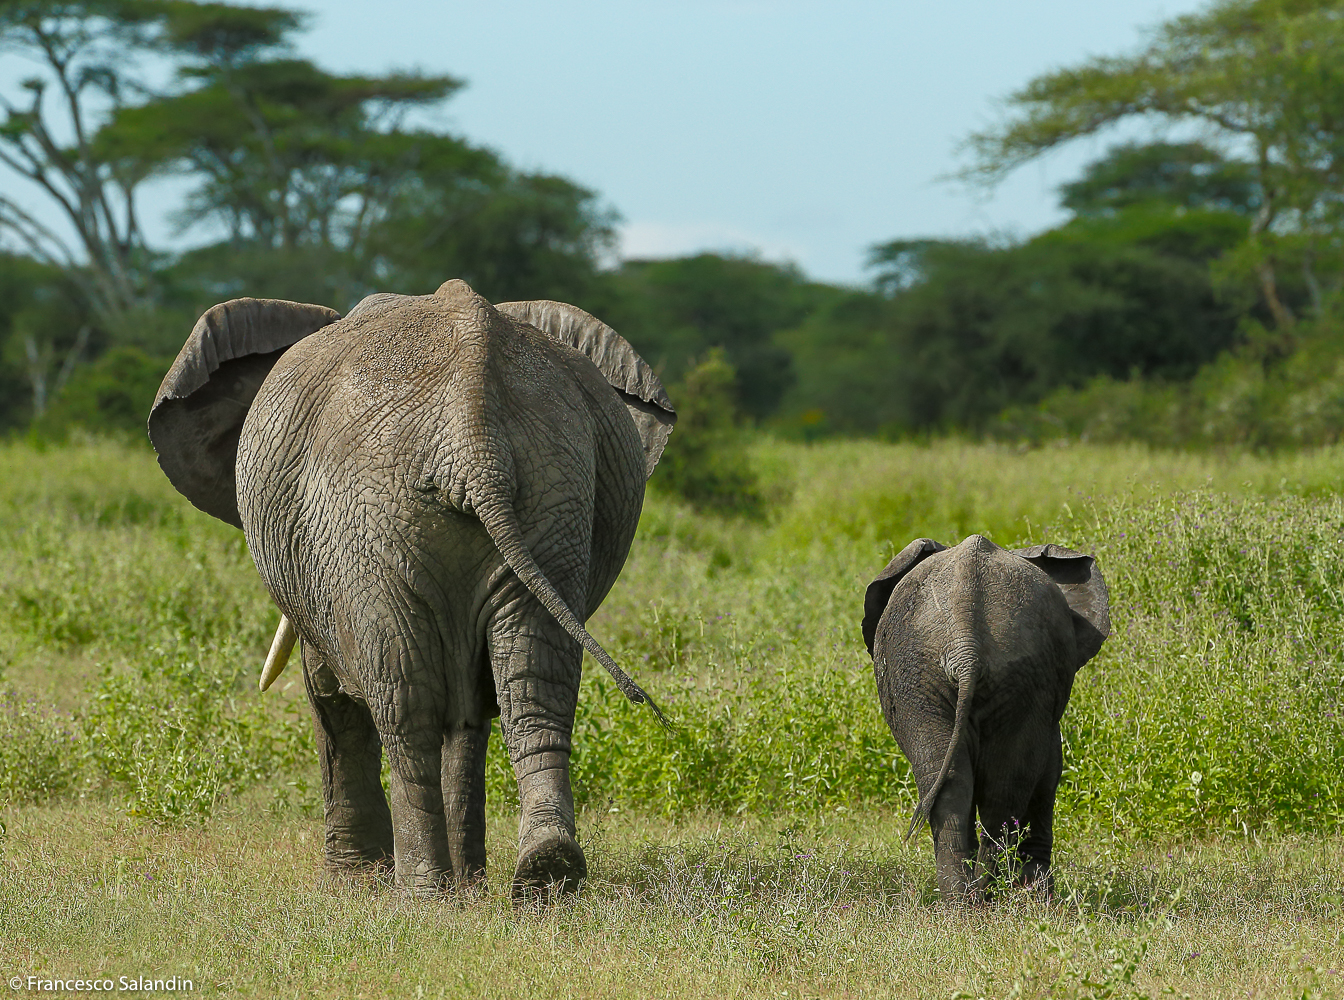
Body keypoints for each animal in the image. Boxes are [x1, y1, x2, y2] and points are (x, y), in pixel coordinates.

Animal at [148, 279, 675, 899]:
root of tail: (474, 429)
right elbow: (472, 711)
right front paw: (471, 885)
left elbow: (330, 692)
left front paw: (354, 882)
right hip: (554, 494)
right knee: (533, 683)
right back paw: (544, 873)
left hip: (367, 522)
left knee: (404, 702)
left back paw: (421, 894)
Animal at [861, 534, 1110, 903]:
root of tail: (967, 648)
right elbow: (1049, 772)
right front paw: (1039, 896)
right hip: (999, 672)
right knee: (1001, 788)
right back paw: (984, 897)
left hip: (928, 674)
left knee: (958, 784)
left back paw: (965, 903)